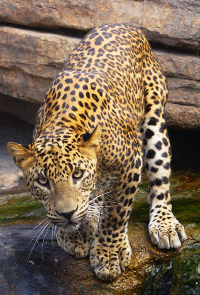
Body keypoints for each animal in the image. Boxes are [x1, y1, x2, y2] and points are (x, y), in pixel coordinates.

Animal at [7, 23, 187, 282]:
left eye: (77, 175)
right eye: (43, 182)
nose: (67, 214)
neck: (63, 124)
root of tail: (123, 25)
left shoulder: (130, 164)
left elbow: (116, 212)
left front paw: (109, 254)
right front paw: (75, 233)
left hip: (155, 117)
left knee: (159, 177)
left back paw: (165, 224)